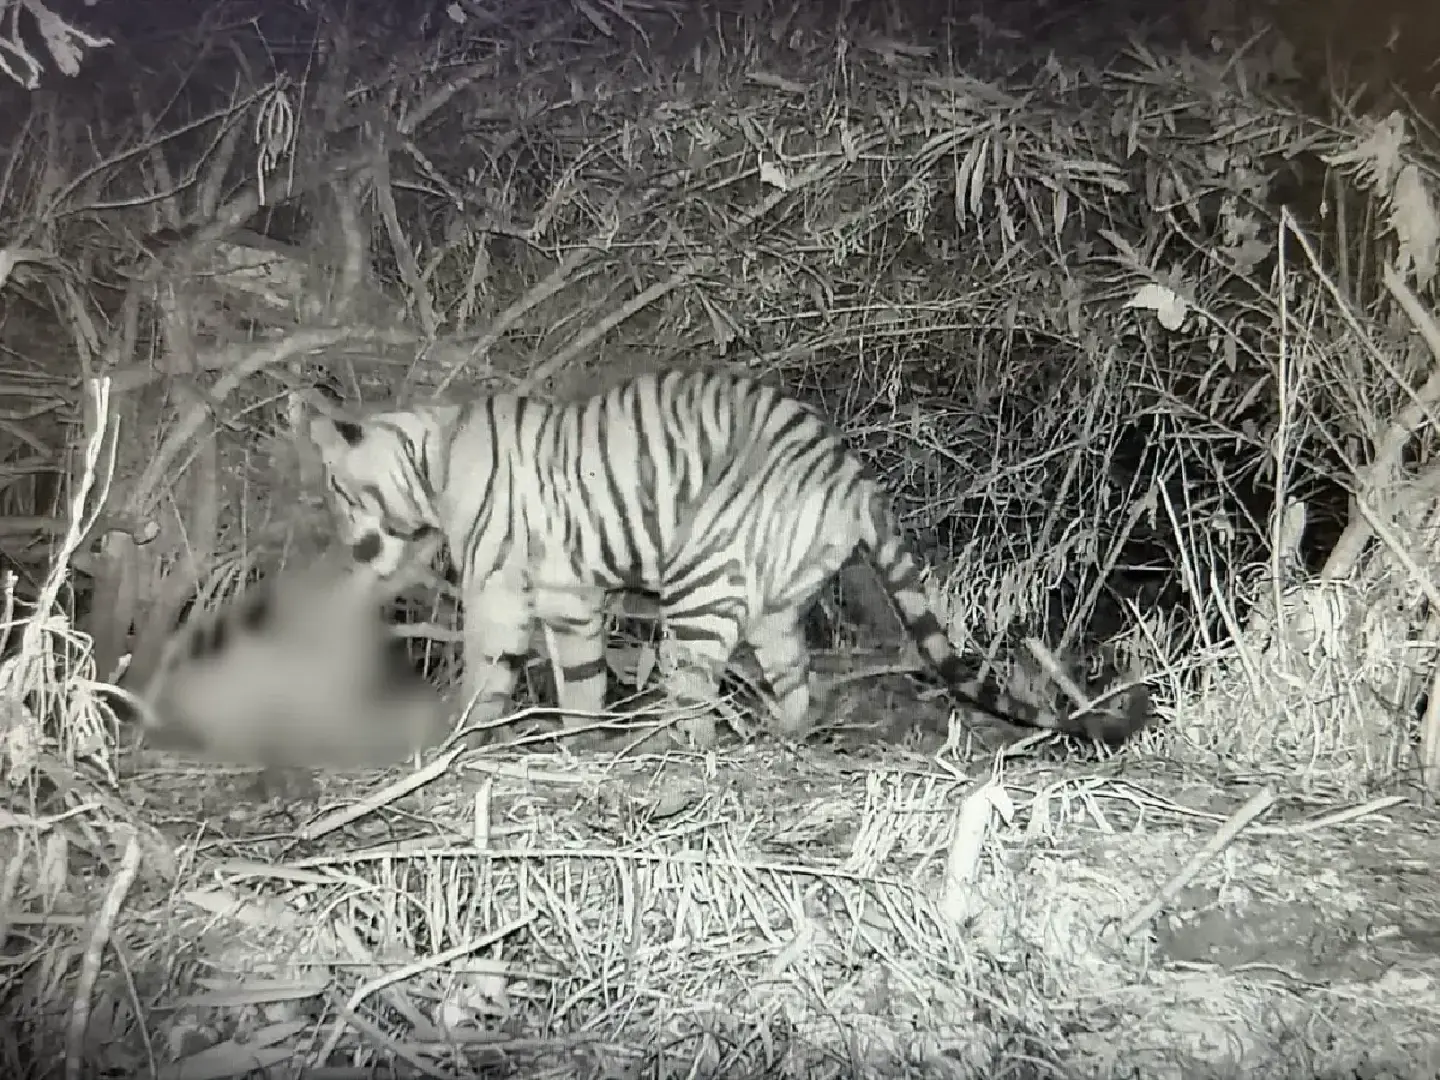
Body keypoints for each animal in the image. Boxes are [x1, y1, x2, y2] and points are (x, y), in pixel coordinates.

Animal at [298, 369, 1153, 750]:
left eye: (338, 491)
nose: (350, 547)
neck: (433, 462)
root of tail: (849, 472)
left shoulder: (516, 590)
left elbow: (506, 677)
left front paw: (477, 743)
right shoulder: (552, 598)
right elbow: (560, 680)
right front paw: (557, 744)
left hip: (701, 583)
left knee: (693, 699)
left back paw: (671, 758)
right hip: (774, 604)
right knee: (798, 686)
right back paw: (782, 742)